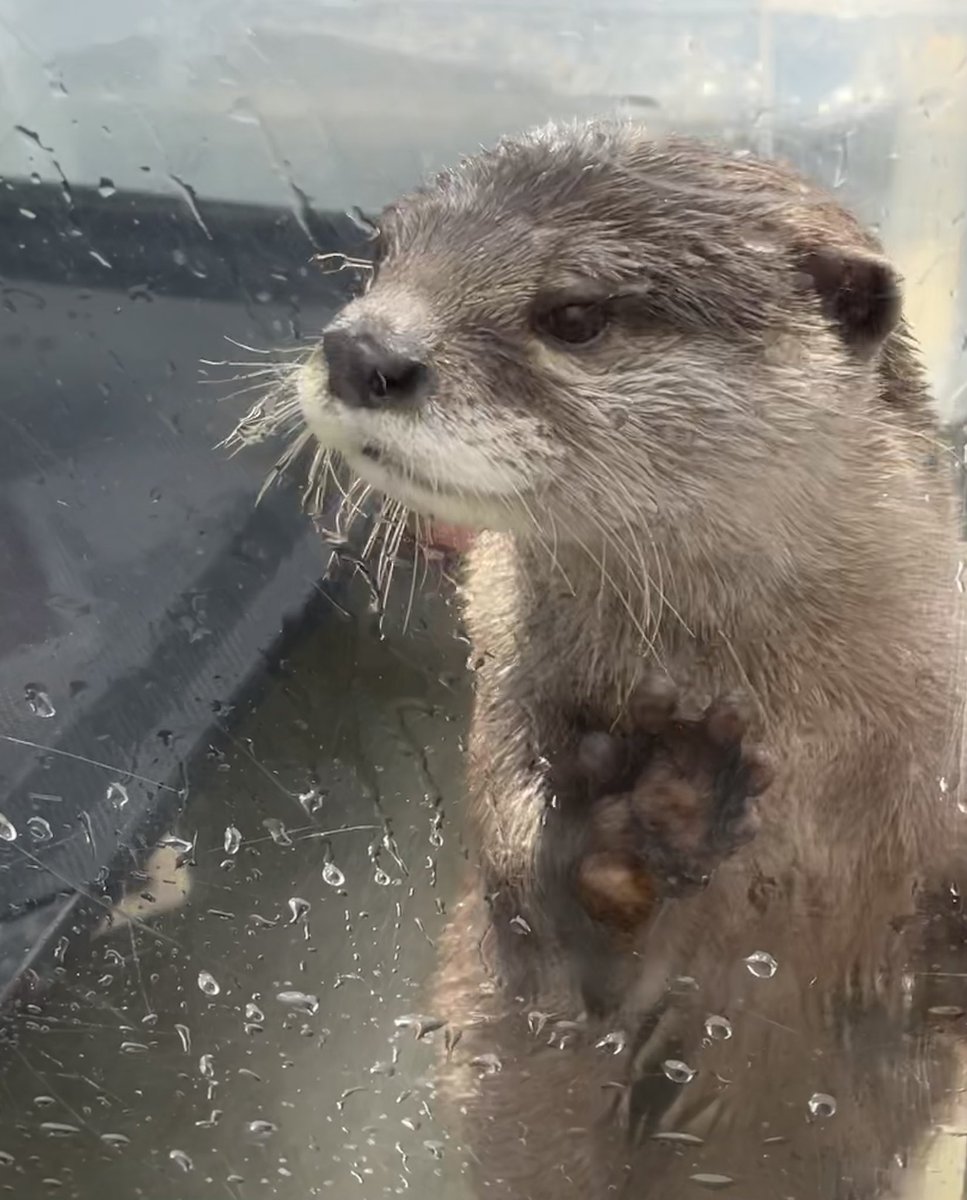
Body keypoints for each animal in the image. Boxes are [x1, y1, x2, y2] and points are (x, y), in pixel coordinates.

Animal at [284, 122, 966, 1197]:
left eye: (574, 314)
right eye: (381, 254)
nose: (362, 348)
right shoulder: (508, 700)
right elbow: (558, 949)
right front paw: (648, 814)